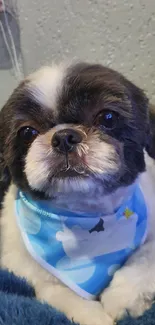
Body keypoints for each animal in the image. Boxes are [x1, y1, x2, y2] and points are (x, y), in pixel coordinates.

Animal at [0, 61, 155, 324]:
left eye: (108, 117)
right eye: (27, 132)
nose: (64, 136)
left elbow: (144, 256)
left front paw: (123, 296)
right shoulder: (23, 268)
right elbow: (56, 293)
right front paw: (96, 316)